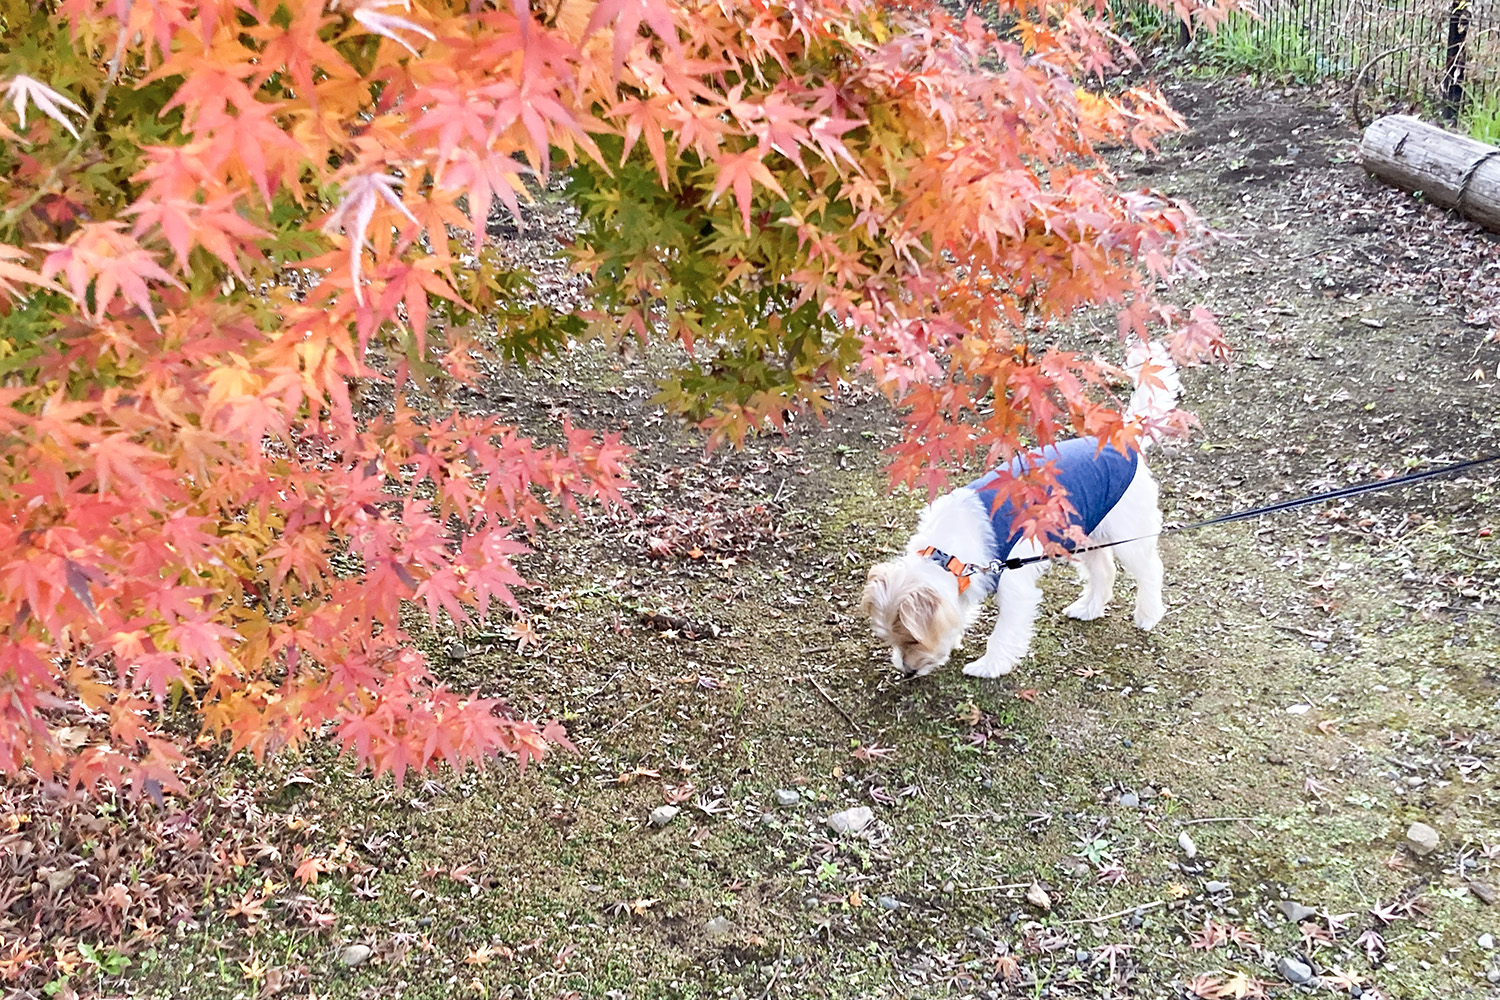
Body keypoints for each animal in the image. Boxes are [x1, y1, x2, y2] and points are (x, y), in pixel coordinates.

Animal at [864, 344, 1176, 680]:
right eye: (891, 638)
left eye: (912, 638)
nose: (906, 671)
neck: (950, 555)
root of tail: (1124, 440)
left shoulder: (1015, 586)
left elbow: (1002, 633)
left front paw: (988, 666)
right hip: (1083, 532)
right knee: (1105, 570)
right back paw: (1088, 609)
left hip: (1127, 536)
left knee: (1151, 570)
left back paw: (1147, 614)